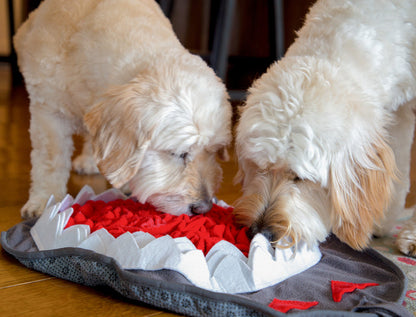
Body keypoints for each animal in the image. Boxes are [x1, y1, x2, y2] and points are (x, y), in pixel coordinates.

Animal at [14, 0, 232, 218]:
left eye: (214, 151)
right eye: (178, 154)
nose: (204, 208)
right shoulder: (48, 111)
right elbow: (50, 161)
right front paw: (45, 200)